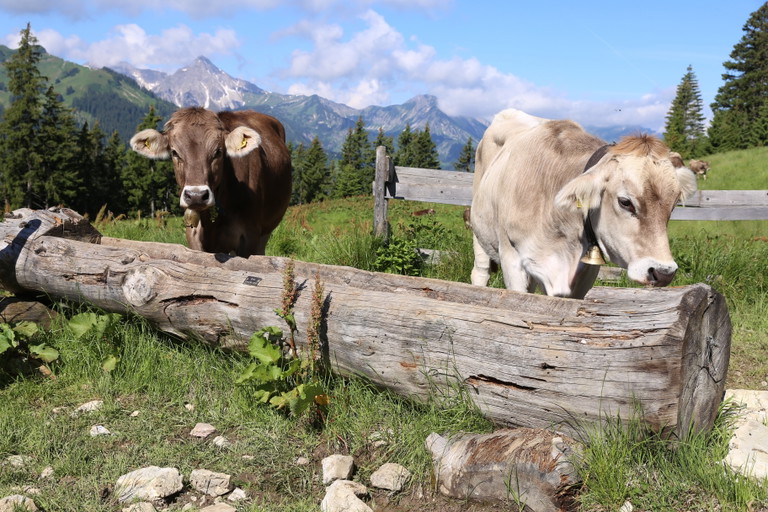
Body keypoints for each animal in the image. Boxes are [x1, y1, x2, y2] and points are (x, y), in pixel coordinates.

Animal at [130, 107, 292, 257]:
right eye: (174, 152)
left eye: (218, 152)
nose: (196, 196)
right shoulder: (193, 235)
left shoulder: (250, 236)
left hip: (266, 229)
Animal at [469, 109, 682, 299]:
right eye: (625, 202)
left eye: (673, 205)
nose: (663, 272)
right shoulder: (511, 259)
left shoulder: (585, 274)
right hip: (480, 232)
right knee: (480, 271)